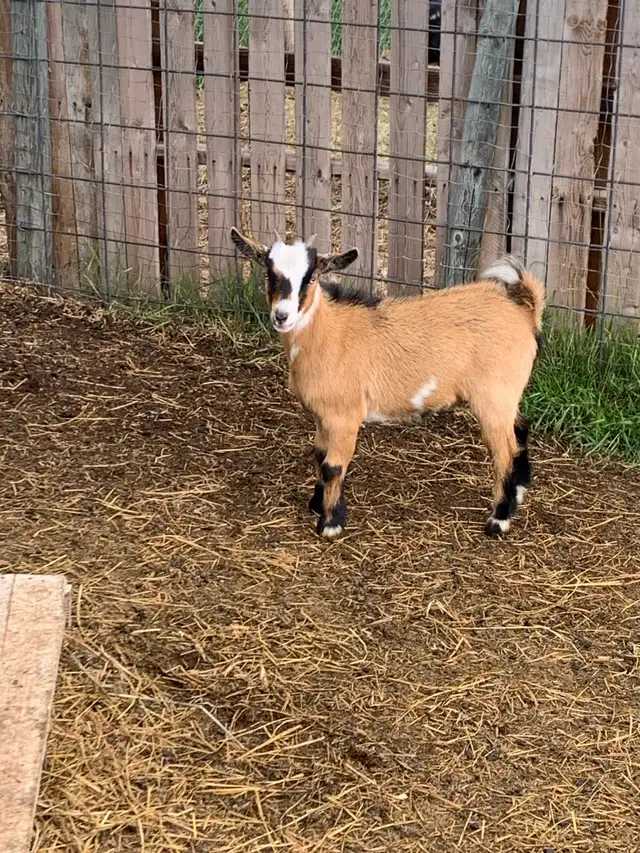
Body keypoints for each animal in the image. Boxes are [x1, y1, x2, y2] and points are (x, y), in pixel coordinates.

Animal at [230, 227, 545, 539]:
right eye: (269, 273)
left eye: (310, 278)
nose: (281, 316)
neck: (327, 333)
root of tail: (525, 311)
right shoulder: (321, 415)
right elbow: (319, 455)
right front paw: (317, 504)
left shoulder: (344, 416)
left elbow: (332, 466)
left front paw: (330, 523)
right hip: (506, 395)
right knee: (520, 429)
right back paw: (518, 492)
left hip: (493, 396)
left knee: (504, 453)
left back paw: (498, 520)